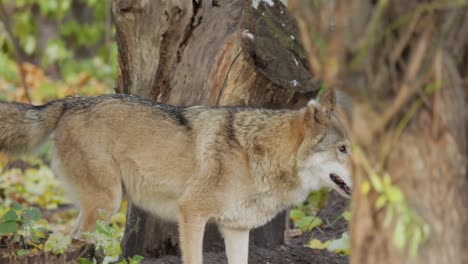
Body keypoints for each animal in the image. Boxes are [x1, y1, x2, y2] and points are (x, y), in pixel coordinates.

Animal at [0, 89, 352, 264]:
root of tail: (69, 102)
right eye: (343, 149)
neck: (258, 155)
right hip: (107, 202)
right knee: (73, 241)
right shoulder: (191, 214)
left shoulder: (236, 229)